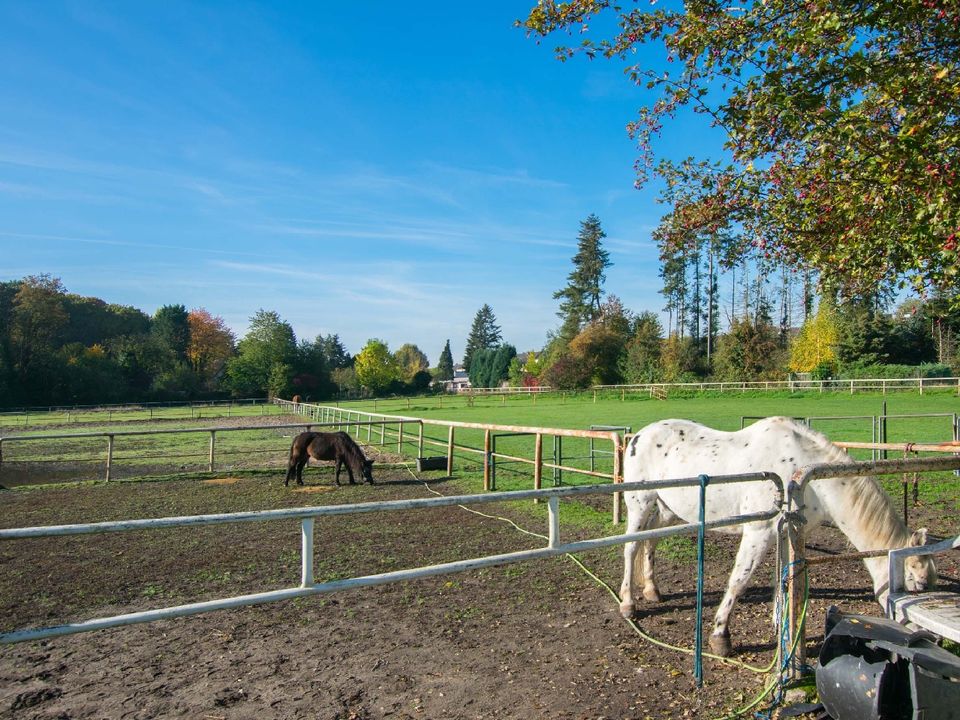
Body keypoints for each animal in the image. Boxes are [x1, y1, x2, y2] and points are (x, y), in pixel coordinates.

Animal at [616, 416, 936, 660]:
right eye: (917, 585)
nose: (926, 639)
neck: (800, 470)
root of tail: (640, 435)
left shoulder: (788, 532)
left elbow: (783, 578)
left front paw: (781, 624)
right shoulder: (758, 533)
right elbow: (739, 580)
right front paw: (720, 636)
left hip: (667, 510)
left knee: (651, 542)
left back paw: (652, 590)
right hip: (639, 503)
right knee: (631, 547)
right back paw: (628, 604)